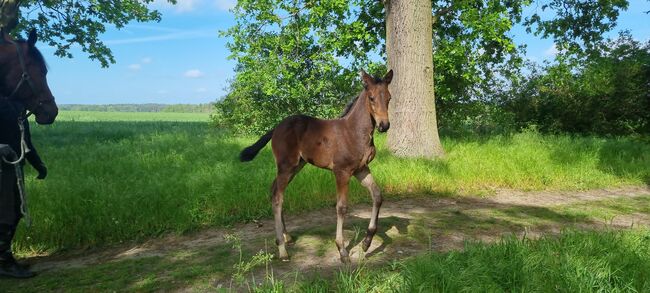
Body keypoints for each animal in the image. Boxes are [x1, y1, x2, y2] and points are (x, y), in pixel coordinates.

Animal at [238, 69, 390, 262]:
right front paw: (342, 250)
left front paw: (366, 242)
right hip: (286, 166)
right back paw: (282, 249)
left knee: (274, 190)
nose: (384, 125)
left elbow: (377, 196)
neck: (354, 132)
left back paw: (286, 237)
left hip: (296, 167)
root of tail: (277, 127)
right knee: (278, 197)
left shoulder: (361, 169)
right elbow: (341, 207)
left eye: (389, 98)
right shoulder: (341, 171)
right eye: (371, 98)